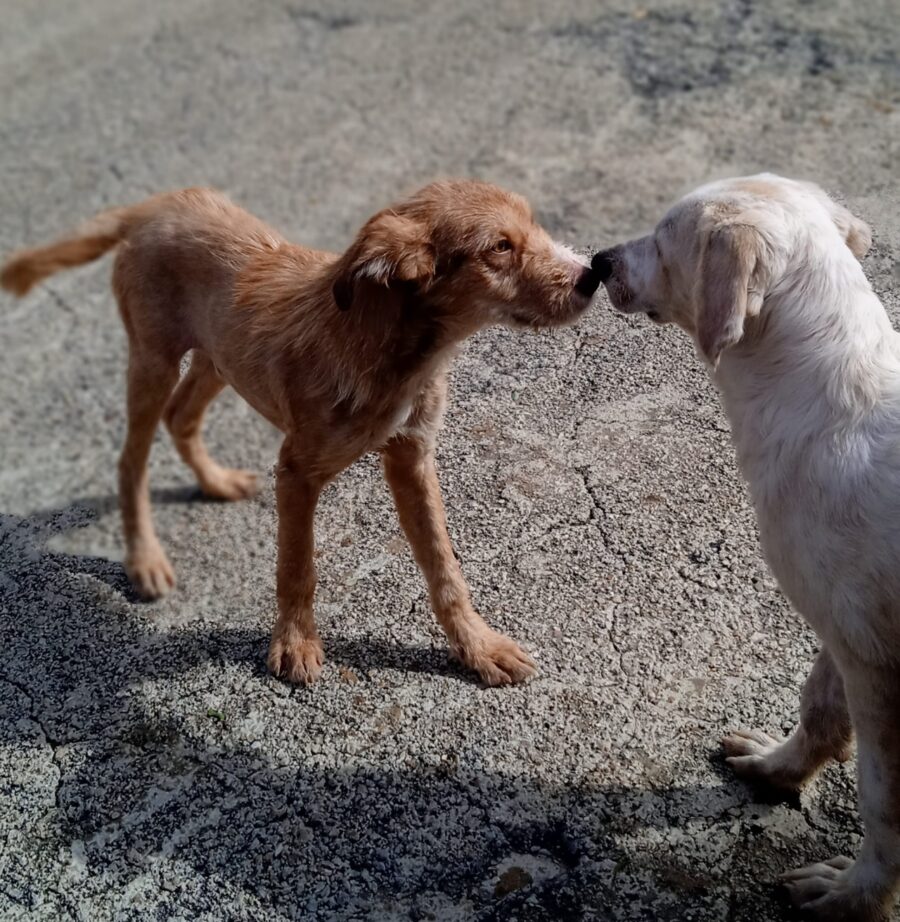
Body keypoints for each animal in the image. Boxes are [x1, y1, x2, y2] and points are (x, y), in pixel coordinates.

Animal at [5, 180, 604, 684]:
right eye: (500, 247)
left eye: (533, 225)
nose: (591, 275)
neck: (390, 349)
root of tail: (156, 204)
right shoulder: (295, 470)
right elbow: (298, 565)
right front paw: (295, 643)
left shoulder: (412, 456)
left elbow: (444, 565)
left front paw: (478, 647)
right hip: (154, 359)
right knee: (131, 459)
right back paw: (145, 559)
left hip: (219, 356)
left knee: (182, 416)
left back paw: (215, 482)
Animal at [596, 174, 896, 920]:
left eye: (664, 235)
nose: (599, 260)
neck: (825, 399)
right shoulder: (841, 628)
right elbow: (819, 707)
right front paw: (777, 771)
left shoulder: (878, 666)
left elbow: (884, 801)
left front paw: (857, 898)